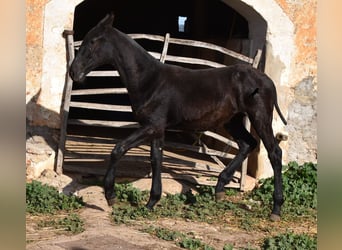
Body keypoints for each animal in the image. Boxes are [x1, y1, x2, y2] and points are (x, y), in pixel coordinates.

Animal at [69, 13, 286, 221]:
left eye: (93, 41)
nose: (73, 72)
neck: (150, 81)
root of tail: (267, 81)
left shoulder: (152, 126)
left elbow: (118, 149)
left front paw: (111, 196)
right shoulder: (156, 129)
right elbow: (156, 158)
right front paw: (151, 202)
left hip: (260, 117)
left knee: (274, 152)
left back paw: (276, 208)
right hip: (232, 121)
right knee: (247, 144)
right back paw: (219, 189)